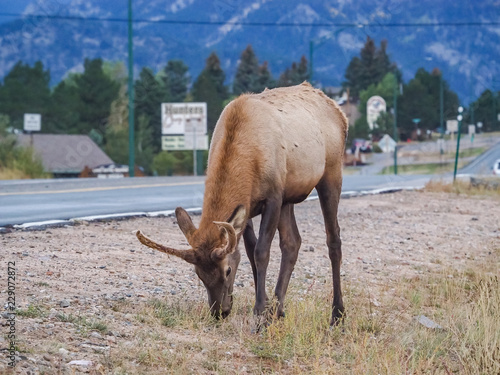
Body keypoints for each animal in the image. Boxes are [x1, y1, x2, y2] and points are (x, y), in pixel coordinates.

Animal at [136, 82, 348, 326]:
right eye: (198, 274)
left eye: (227, 270)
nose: (219, 311)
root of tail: (339, 112)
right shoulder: (250, 205)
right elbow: (249, 250)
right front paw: (264, 308)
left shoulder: (273, 197)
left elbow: (261, 252)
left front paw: (260, 314)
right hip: (289, 197)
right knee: (292, 243)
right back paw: (278, 310)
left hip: (330, 174)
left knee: (333, 239)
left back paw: (337, 314)